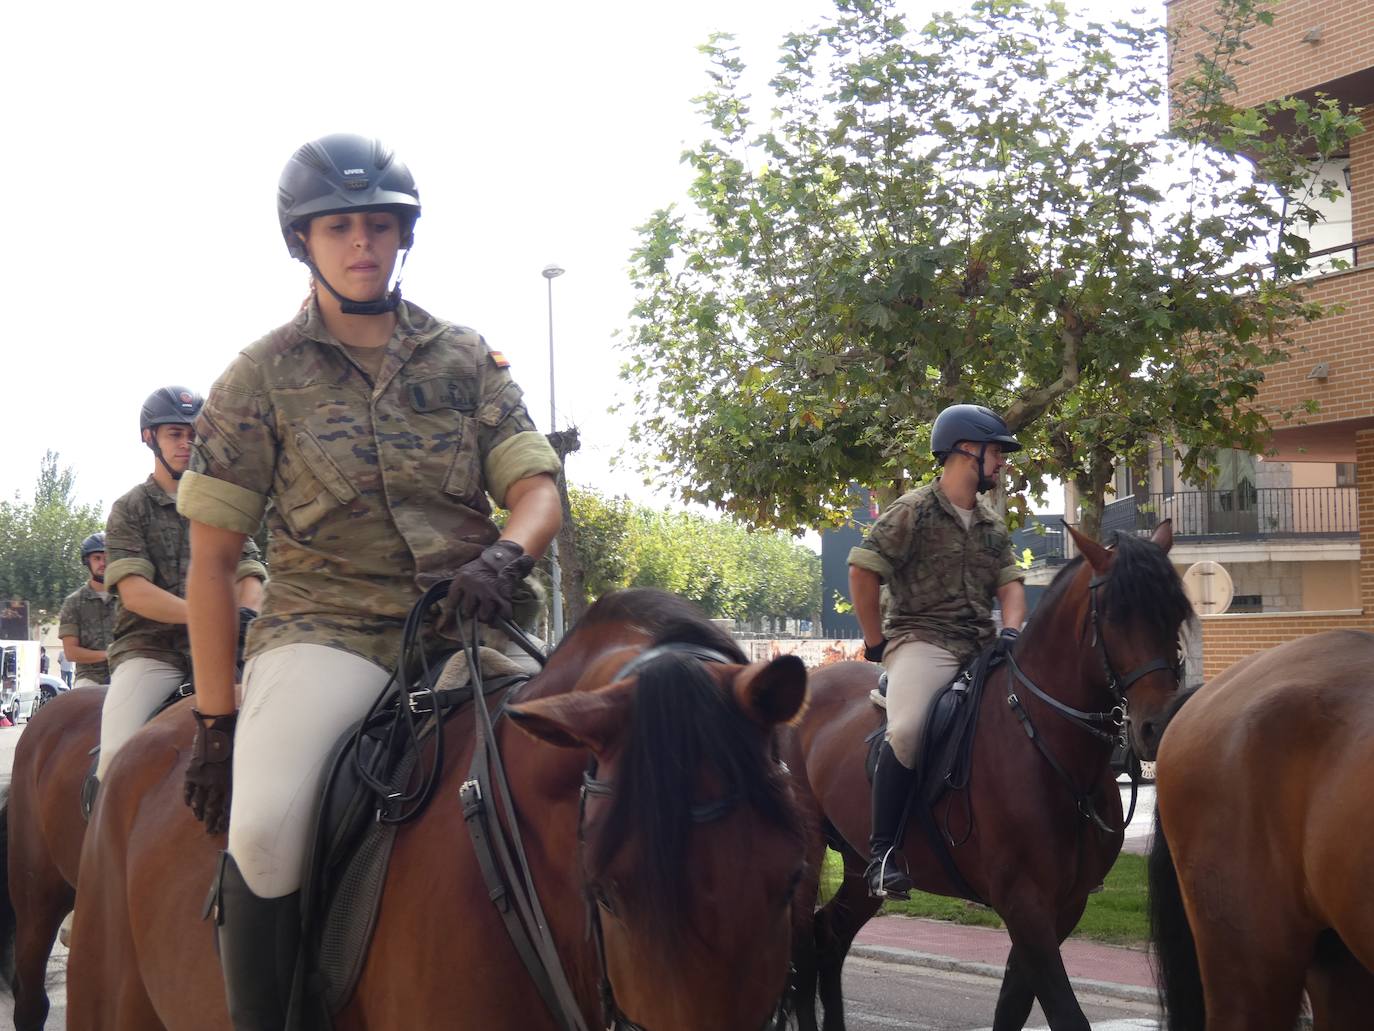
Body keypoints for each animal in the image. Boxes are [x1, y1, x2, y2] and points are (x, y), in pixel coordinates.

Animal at [785, 525, 1192, 1031]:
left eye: (1176, 610)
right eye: (1117, 614)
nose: (1159, 723)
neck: (1049, 747)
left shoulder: (1064, 905)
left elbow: (1012, 1005)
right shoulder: (1025, 903)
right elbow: (1063, 1011)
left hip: (860, 866)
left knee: (829, 939)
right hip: (808, 854)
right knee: (803, 947)